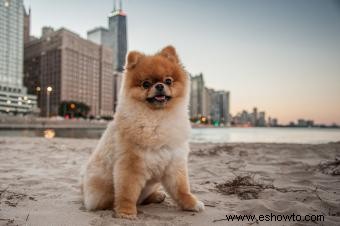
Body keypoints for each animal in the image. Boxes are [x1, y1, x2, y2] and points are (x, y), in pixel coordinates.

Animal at [81, 45, 205, 219]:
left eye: (168, 80)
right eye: (146, 84)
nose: (159, 85)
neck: (157, 118)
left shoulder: (174, 162)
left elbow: (182, 188)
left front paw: (191, 204)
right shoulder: (130, 165)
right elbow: (127, 192)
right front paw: (126, 212)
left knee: (142, 198)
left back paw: (157, 196)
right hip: (100, 193)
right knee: (116, 200)